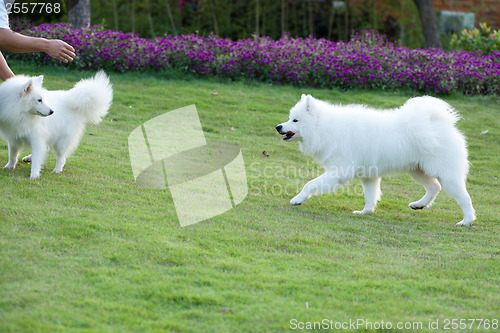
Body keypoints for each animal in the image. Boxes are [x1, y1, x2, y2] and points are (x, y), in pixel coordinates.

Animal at [278, 93, 476, 226]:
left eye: (295, 120)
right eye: (290, 118)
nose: (278, 127)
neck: (324, 127)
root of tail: (439, 122)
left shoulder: (338, 172)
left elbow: (309, 184)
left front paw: (298, 199)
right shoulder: (368, 175)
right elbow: (370, 196)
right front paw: (365, 212)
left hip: (446, 175)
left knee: (464, 198)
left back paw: (466, 221)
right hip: (417, 171)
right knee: (435, 187)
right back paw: (419, 205)